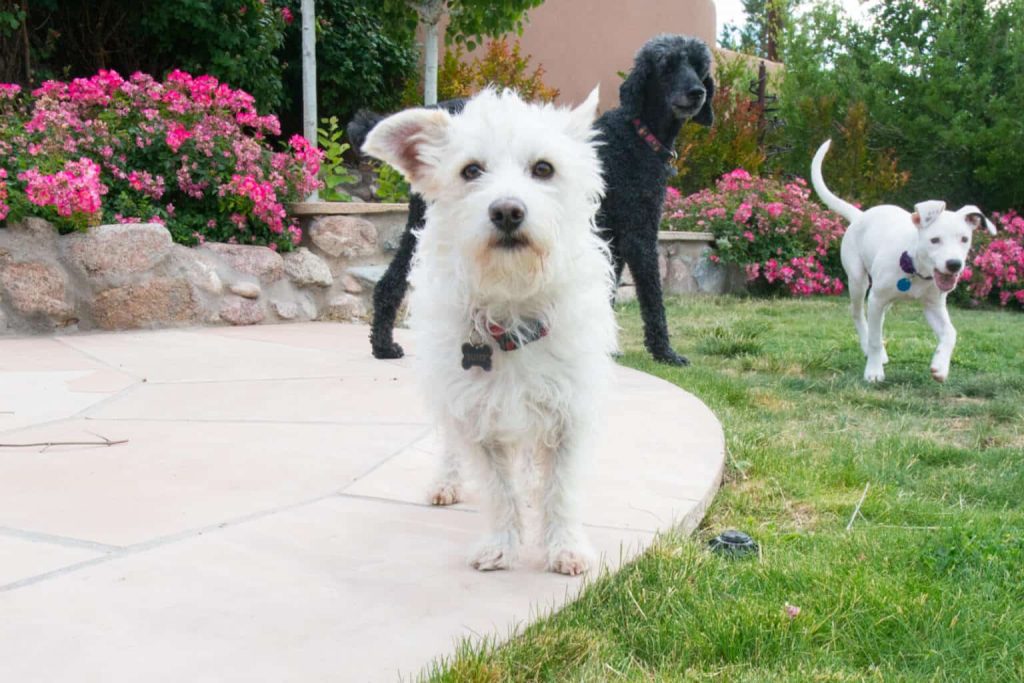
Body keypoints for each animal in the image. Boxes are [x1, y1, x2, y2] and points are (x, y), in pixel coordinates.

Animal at [362, 87, 614, 577]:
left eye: (543, 168)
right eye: (471, 170)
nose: (507, 210)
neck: (512, 308)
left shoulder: (569, 413)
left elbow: (560, 489)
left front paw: (565, 547)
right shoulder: (475, 416)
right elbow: (500, 491)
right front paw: (502, 546)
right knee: (448, 446)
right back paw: (445, 482)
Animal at [811, 139, 995, 385]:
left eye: (964, 239)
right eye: (934, 240)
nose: (954, 264)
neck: (915, 269)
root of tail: (860, 216)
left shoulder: (933, 305)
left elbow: (950, 333)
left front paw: (940, 366)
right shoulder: (877, 298)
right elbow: (875, 338)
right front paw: (873, 371)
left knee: (877, 320)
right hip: (858, 281)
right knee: (859, 315)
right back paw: (870, 349)